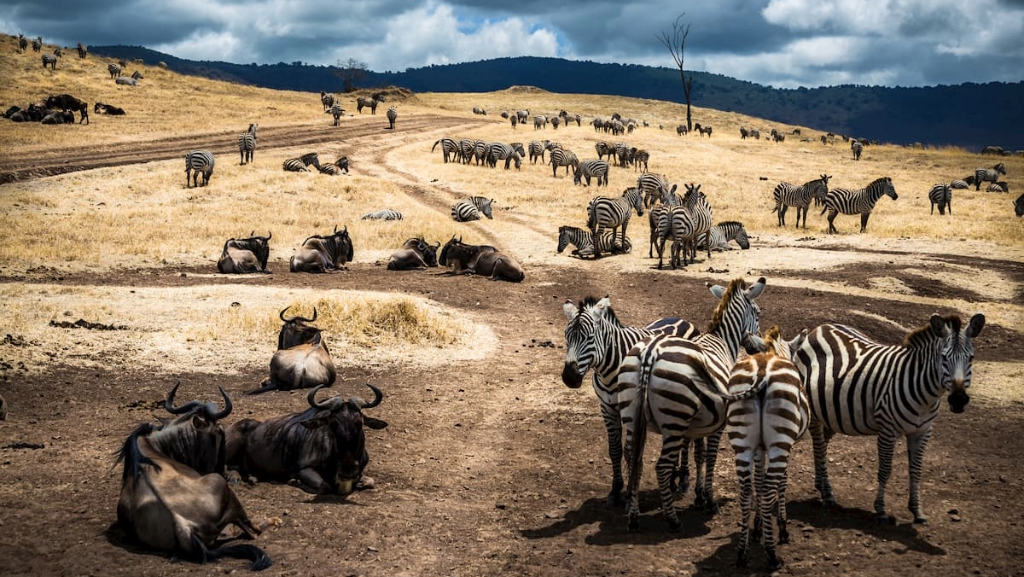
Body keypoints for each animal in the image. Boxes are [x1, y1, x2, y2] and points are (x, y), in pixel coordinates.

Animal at [561, 295, 704, 508]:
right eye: (566, 337)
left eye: (589, 338)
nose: (569, 378)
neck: (609, 371)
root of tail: (683, 320)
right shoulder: (606, 408)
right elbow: (615, 450)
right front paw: (615, 490)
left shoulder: (632, 409)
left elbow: (631, 451)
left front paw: (629, 494)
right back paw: (672, 479)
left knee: (685, 439)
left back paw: (684, 479)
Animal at [614, 276, 770, 528]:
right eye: (757, 313)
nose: (759, 349)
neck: (721, 339)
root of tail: (650, 352)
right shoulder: (718, 423)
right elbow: (710, 457)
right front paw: (709, 501)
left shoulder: (697, 423)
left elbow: (698, 455)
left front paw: (697, 495)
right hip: (674, 421)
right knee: (661, 466)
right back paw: (672, 519)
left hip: (632, 414)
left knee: (633, 458)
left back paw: (634, 515)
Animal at [733, 325, 811, 569]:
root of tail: (761, 372)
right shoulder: (788, 447)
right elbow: (782, 482)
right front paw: (782, 528)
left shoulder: (758, 448)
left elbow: (758, 480)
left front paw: (758, 526)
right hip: (780, 442)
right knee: (768, 490)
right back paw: (772, 553)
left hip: (741, 441)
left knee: (745, 492)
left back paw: (742, 553)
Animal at [790, 313, 983, 524]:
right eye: (944, 358)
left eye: (971, 358)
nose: (958, 400)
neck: (925, 396)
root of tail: (820, 328)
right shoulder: (888, 430)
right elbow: (885, 470)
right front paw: (881, 510)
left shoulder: (923, 431)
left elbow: (916, 470)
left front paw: (917, 511)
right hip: (814, 413)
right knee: (818, 447)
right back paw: (827, 494)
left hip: (831, 412)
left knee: (822, 447)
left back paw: (821, 485)